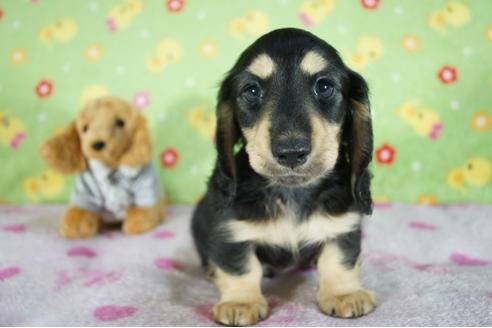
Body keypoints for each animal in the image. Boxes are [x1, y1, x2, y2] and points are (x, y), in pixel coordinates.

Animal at [190, 28, 374, 326]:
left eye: (324, 86)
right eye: (252, 90)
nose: (291, 152)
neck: (291, 192)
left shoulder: (343, 226)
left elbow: (338, 260)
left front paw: (344, 294)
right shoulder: (230, 232)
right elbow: (240, 266)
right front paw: (240, 301)